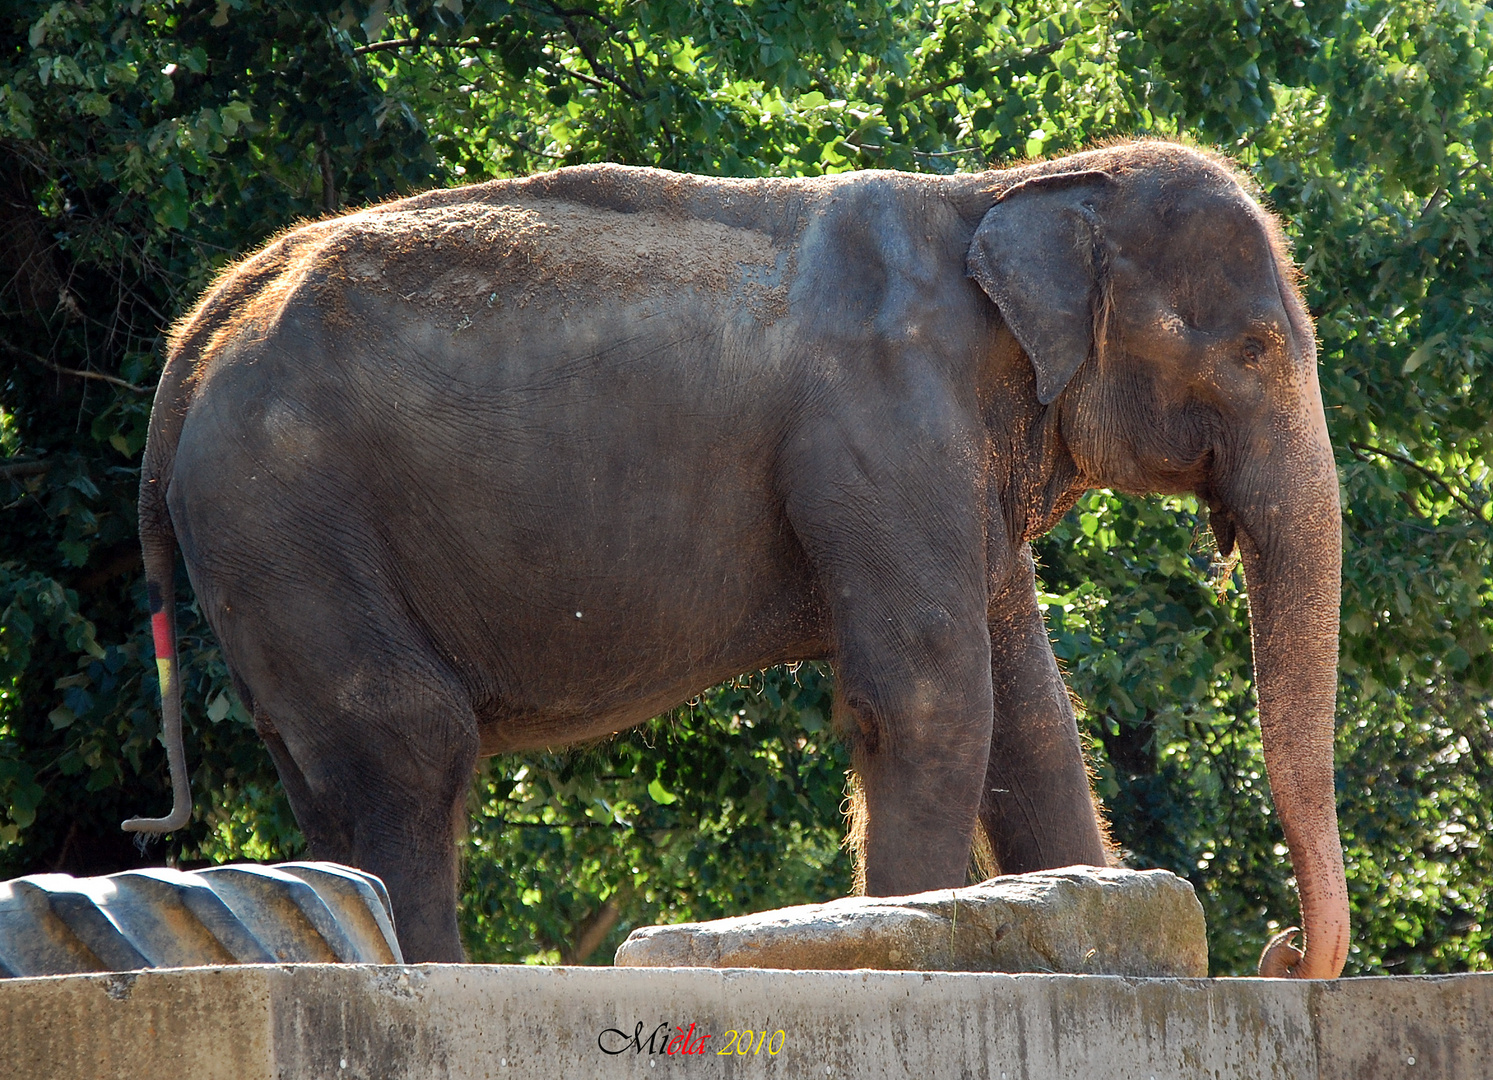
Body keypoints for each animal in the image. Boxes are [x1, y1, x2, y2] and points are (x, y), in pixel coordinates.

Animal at [128, 139, 1355, 973]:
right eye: (1254, 348)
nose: (1282, 953)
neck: (1013, 184)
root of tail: (201, 328)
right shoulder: (879, 429)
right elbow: (930, 701)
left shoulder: (958, 472)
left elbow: (1032, 722)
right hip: (285, 513)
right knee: (409, 748)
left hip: (267, 551)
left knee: (337, 773)